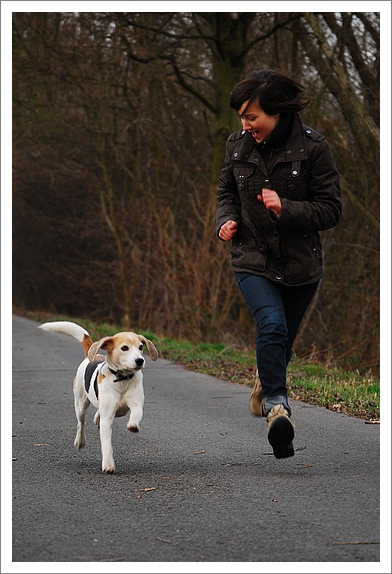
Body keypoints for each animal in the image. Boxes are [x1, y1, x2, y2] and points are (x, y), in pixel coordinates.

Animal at [38, 322, 158, 474]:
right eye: (125, 348)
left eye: (141, 347)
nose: (140, 360)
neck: (122, 379)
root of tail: (89, 356)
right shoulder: (107, 418)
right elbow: (106, 444)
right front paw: (108, 465)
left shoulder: (135, 403)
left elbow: (135, 414)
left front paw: (133, 426)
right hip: (80, 404)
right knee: (81, 423)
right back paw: (80, 441)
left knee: (98, 413)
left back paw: (97, 420)